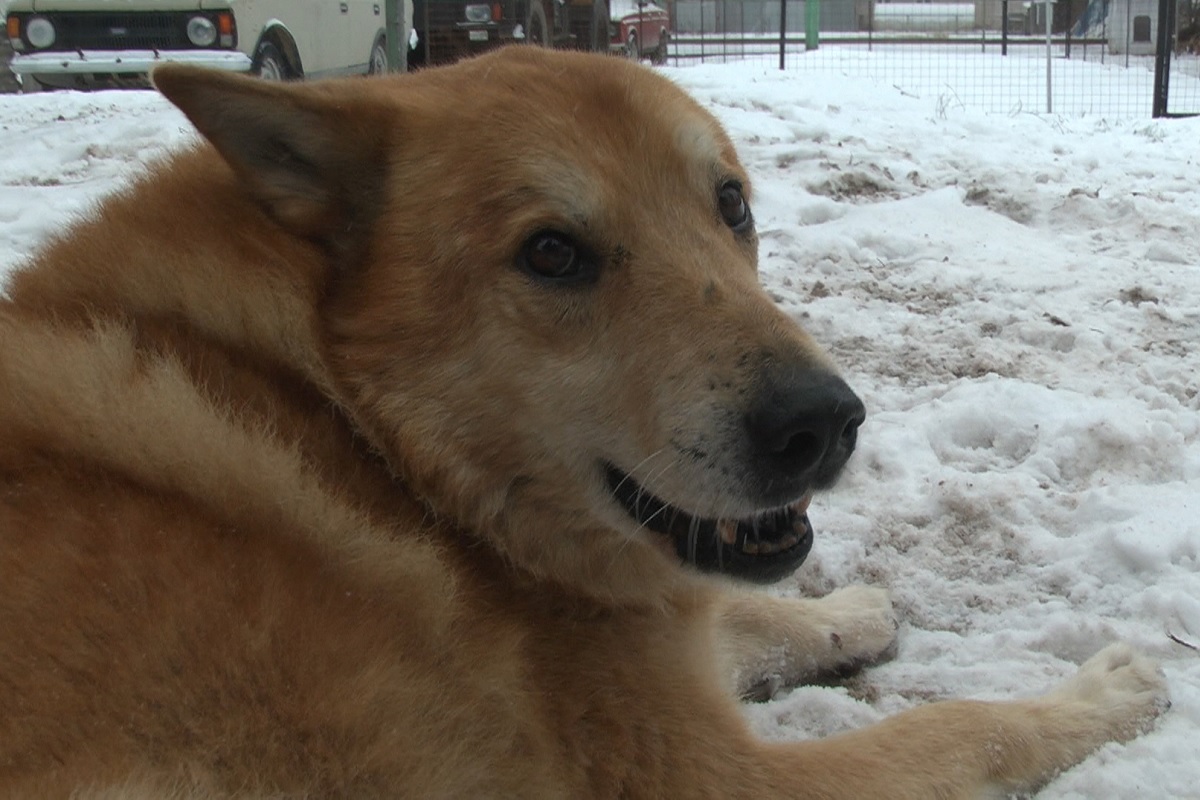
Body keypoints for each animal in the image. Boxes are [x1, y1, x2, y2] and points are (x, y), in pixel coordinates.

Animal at [0, 47, 1161, 796]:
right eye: (552, 253)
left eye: (731, 204)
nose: (824, 424)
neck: (368, 438)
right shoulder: (706, 773)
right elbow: (962, 731)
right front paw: (1097, 700)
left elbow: (739, 620)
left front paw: (850, 612)